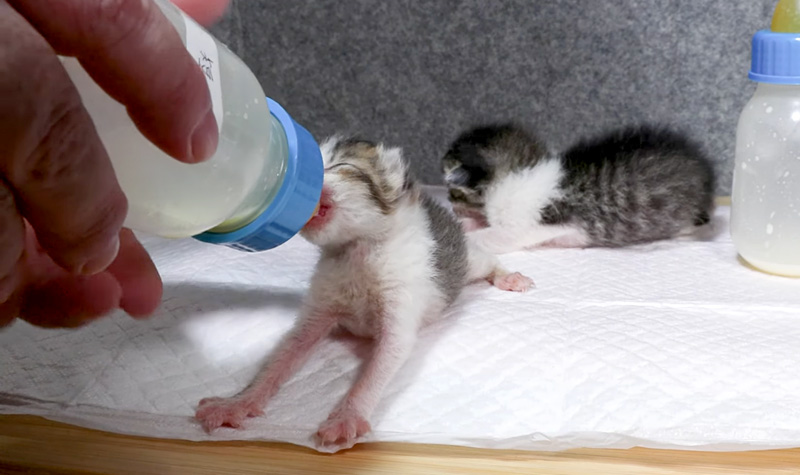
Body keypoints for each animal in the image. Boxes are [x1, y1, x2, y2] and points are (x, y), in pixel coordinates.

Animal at [194, 135, 532, 450]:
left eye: (344, 165)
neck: (356, 252)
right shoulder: (322, 301)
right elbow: (286, 353)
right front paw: (237, 402)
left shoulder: (402, 295)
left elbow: (384, 359)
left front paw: (348, 415)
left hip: (466, 260)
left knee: (487, 260)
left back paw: (508, 276)